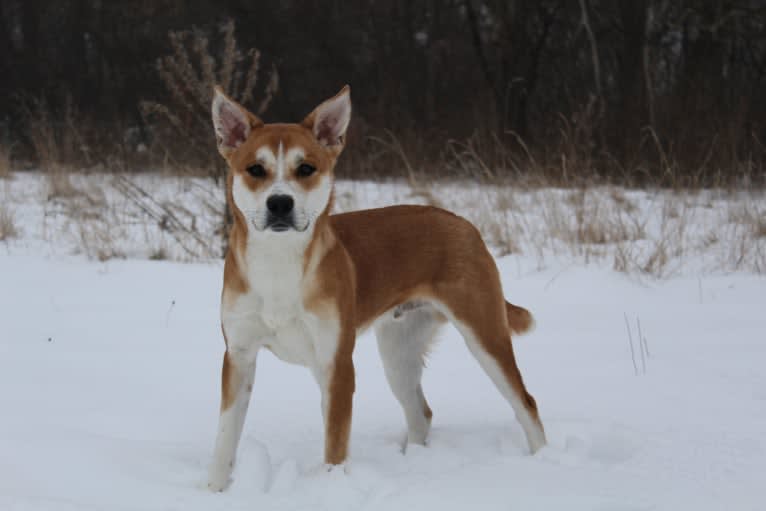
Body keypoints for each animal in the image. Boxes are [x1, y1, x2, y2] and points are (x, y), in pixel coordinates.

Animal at [207, 85, 548, 492]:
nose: (279, 204)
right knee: (421, 414)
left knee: (526, 402)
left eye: (305, 168)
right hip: (398, 351)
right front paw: (214, 489)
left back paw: (545, 462)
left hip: (485, 335)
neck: (279, 263)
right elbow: (225, 437)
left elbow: (335, 448)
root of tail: (464, 224)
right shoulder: (239, 356)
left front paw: (331, 489)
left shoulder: (336, 364)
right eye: (255, 169)